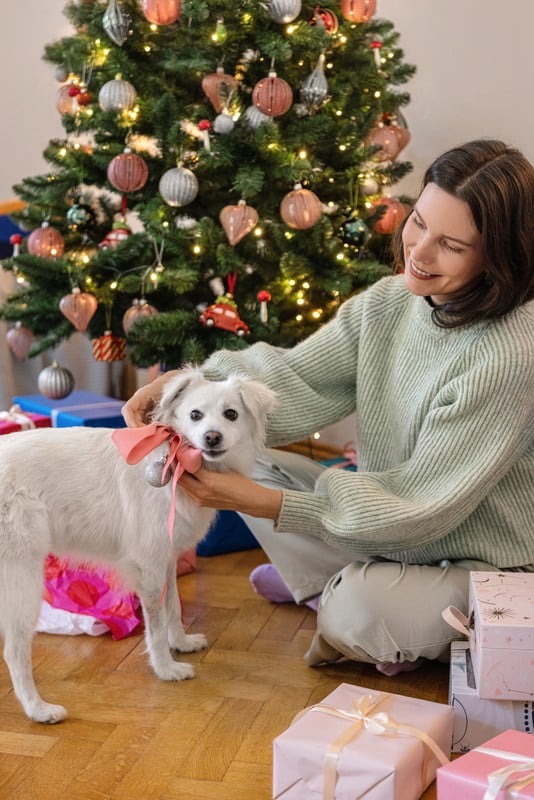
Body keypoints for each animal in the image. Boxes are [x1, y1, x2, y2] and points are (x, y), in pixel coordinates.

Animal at [0, 368, 276, 724]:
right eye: (195, 415)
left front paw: (182, 642)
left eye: (231, 414)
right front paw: (166, 669)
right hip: (22, 580)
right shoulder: (150, 567)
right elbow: (156, 625)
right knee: (15, 651)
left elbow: (173, 607)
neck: (175, 460)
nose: (212, 437)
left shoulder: (167, 560)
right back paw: (38, 709)